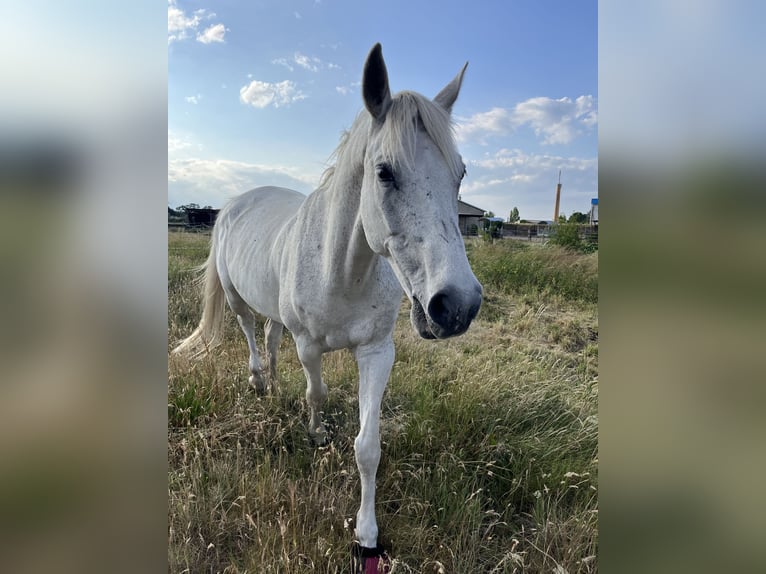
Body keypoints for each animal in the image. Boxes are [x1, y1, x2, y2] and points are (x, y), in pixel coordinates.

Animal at [173, 43, 482, 569]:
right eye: (384, 172)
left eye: (459, 173)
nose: (456, 305)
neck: (343, 271)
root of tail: (237, 201)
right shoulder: (309, 346)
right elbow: (316, 393)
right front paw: (315, 433)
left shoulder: (377, 352)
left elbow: (368, 447)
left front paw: (367, 534)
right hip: (236, 300)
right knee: (251, 334)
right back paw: (260, 383)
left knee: (270, 336)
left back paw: (275, 383)